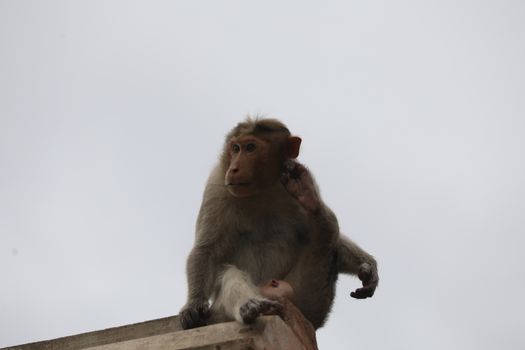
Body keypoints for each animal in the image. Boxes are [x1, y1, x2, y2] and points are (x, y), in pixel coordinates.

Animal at [179, 117, 376, 330]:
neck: (262, 190)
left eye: (250, 147)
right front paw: (193, 303)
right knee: (228, 273)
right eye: (235, 148)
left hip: (303, 299)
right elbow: (207, 249)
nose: (234, 168)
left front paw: (369, 267)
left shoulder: (297, 174)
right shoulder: (216, 186)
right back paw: (250, 306)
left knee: (326, 234)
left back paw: (313, 205)